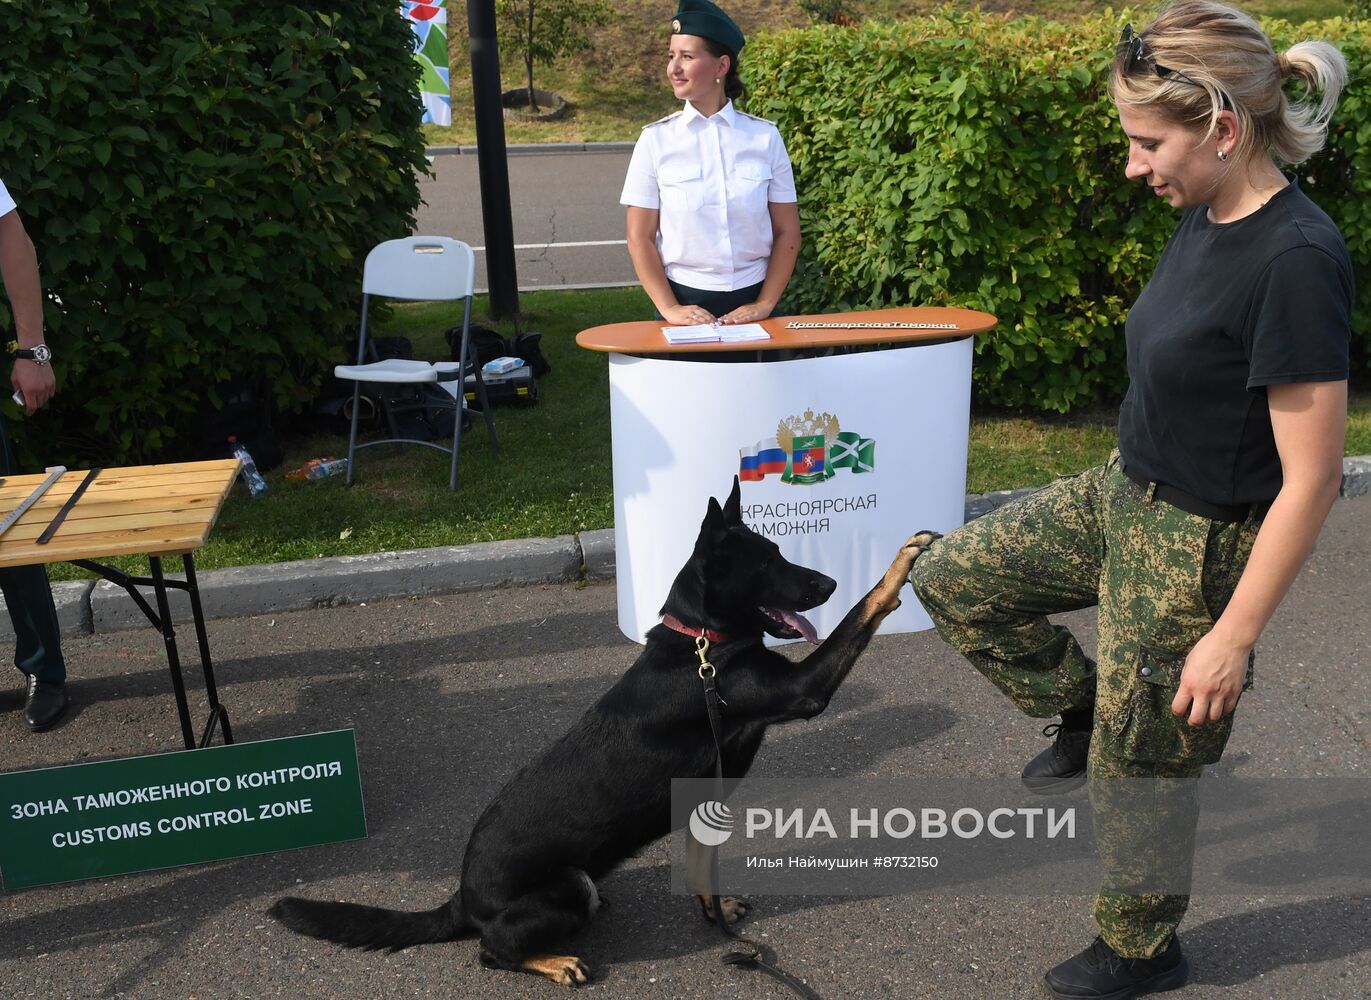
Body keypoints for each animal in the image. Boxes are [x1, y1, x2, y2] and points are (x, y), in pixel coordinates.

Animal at [270, 480, 932, 987]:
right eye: (766, 562)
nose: (828, 585)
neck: (701, 642)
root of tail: (461, 899)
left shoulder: (706, 796)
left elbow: (703, 867)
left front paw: (714, 910)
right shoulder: (804, 690)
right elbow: (860, 616)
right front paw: (900, 565)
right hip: (571, 884)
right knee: (491, 952)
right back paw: (553, 961)